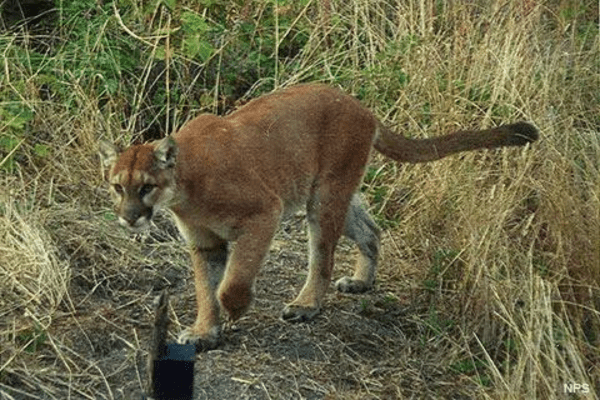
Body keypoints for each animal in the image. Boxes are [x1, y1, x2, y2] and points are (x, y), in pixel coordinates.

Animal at [98, 83, 540, 350]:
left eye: (145, 187)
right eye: (118, 187)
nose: (130, 218)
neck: (185, 188)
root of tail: (363, 108)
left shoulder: (264, 212)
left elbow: (231, 282)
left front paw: (236, 310)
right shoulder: (204, 242)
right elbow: (205, 289)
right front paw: (206, 331)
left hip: (324, 197)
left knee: (322, 259)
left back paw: (307, 305)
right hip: (335, 193)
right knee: (371, 230)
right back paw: (361, 282)